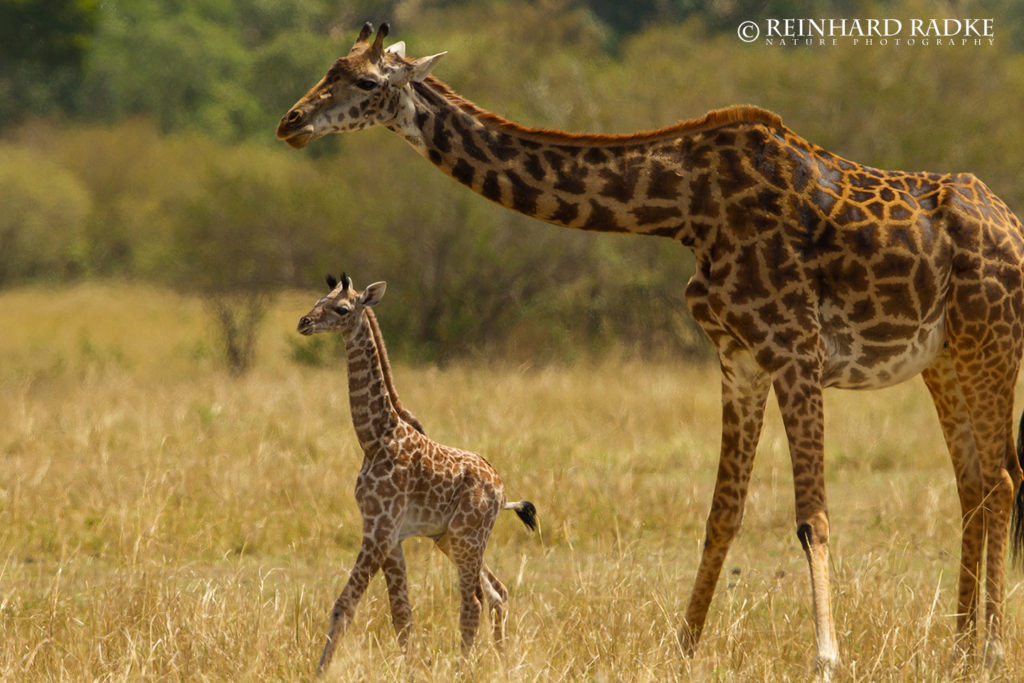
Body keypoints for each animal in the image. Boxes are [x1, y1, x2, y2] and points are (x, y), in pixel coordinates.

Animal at [296, 270, 536, 671]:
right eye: (317, 300)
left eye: (341, 308)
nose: (304, 322)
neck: (375, 438)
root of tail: (502, 491)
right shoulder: (391, 536)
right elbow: (401, 613)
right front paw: (408, 668)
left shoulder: (378, 530)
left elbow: (345, 606)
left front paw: (319, 672)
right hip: (450, 538)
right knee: (497, 593)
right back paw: (503, 662)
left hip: (468, 536)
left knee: (473, 601)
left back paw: (463, 668)